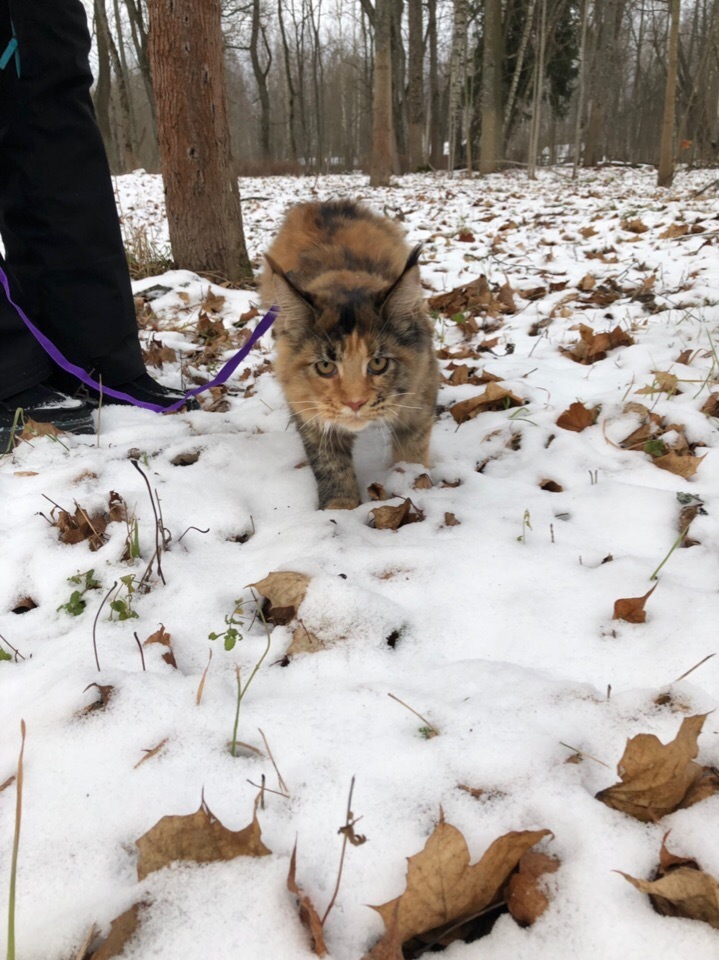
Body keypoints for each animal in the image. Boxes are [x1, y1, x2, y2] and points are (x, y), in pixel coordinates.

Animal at [260, 201, 438, 510]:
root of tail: (324, 204)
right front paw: (340, 509)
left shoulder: (420, 396)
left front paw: (413, 487)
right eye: (325, 366)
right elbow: (331, 465)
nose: (355, 403)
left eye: (379, 363)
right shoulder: (309, 412)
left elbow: (411, 452)